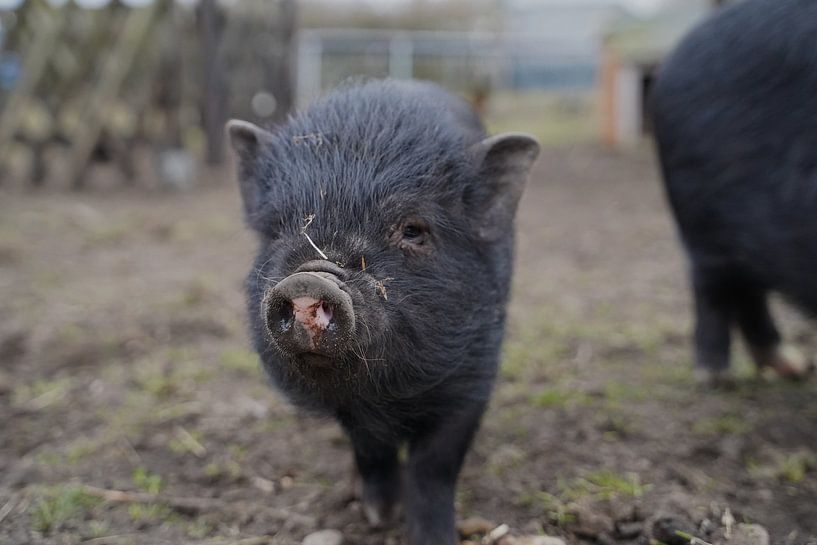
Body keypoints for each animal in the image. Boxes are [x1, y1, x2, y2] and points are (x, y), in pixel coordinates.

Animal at [226, 81, 540, 544]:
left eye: (413, 230)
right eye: (277, 229)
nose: (309, 280)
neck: (391, 394)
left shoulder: (474, 374)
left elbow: (435, 464)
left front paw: (432, 536)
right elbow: (370, 446)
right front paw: (379, 516)